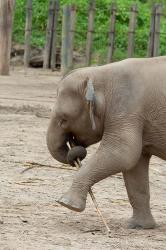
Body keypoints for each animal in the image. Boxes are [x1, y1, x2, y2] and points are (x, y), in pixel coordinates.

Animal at [46, 56, 166, 229]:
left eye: (64, 119)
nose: (74, 152)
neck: (100, 73)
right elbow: (135, 167)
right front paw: (138, 226)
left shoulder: (126, 109)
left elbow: (122, 153)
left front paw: (67, 203)